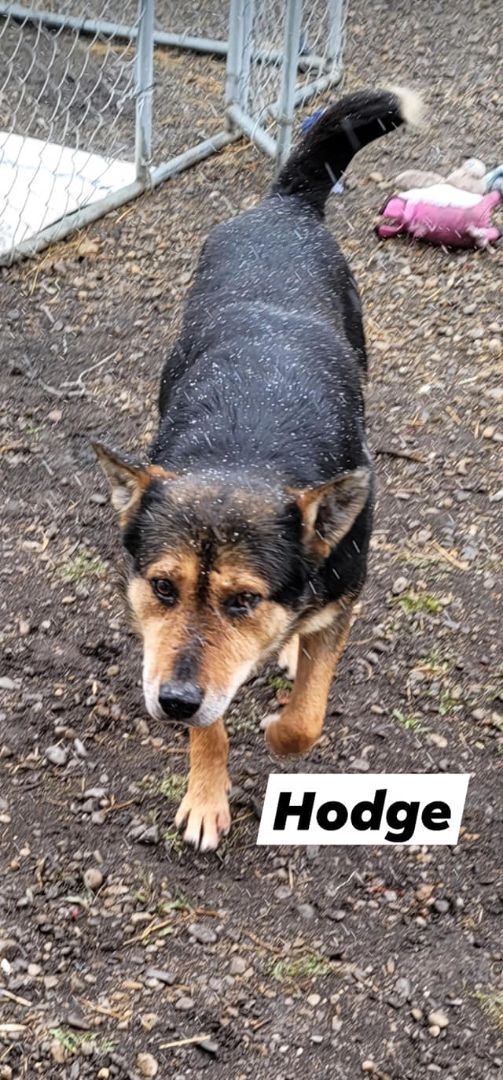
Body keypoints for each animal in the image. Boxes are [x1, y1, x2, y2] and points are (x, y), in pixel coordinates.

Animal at [93, 86, 420, 851]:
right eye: (161, 586)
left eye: (243, 600)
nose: (173, 702)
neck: (247, 451)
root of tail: (285, 206)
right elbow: (212, 726)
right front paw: (206, 794)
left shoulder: (343, 589)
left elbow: (305, 720)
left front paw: (279, 723)